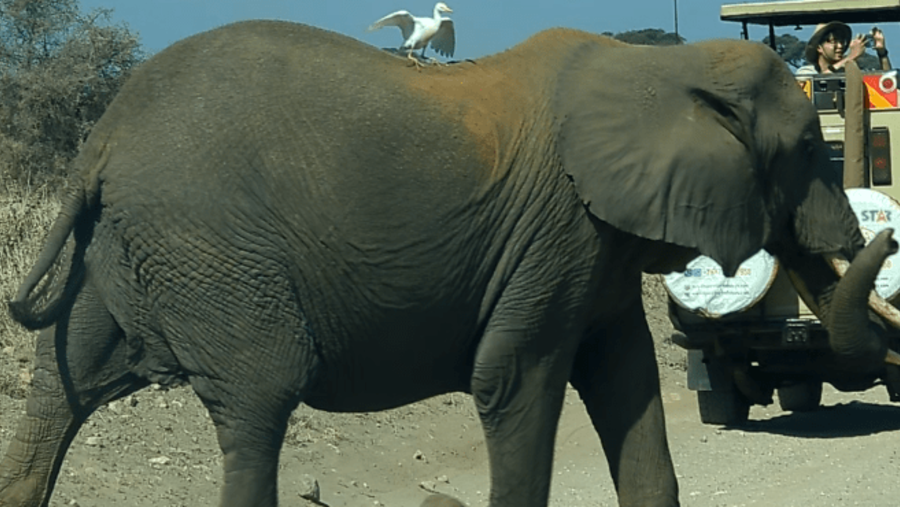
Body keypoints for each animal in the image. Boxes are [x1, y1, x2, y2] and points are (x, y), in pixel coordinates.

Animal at [0, 19, 897, 507]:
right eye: (809, 152)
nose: (877, 233)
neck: (655, 71)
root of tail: (100, 139)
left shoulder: (590, 245)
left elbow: (626, 379)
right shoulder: (555, 231)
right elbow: (514, 378)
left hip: (128, 248)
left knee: (59, 387)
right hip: (209, 248)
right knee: (260, 398)